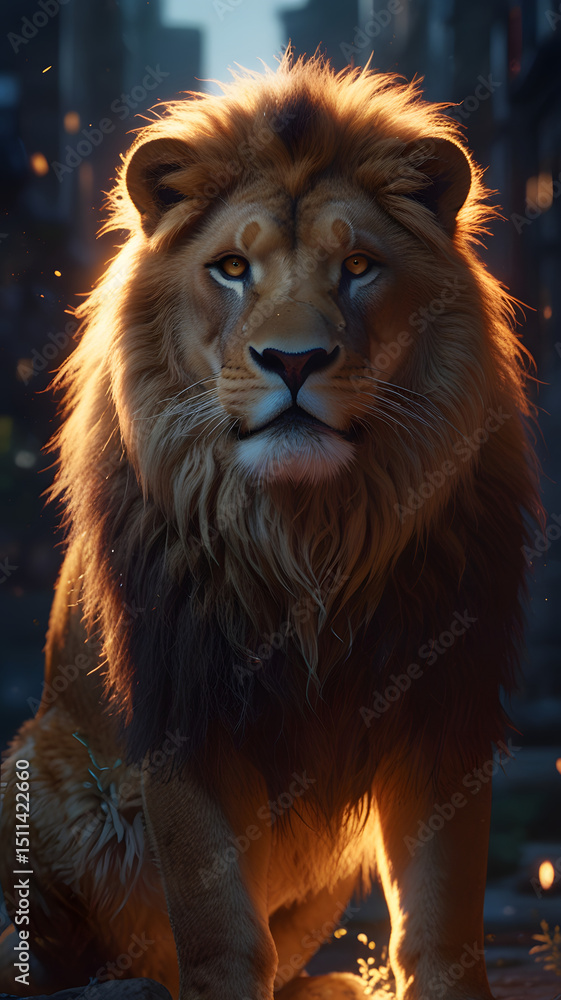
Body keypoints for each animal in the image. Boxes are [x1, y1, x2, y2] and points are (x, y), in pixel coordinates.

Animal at [0, 52, 540, 1000]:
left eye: (357, 265)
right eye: (230, 268)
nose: (294, 361)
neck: (303, 536)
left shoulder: (443, 705)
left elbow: (440, 921)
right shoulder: (184, 716)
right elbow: (220, 930)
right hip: (34, 771)